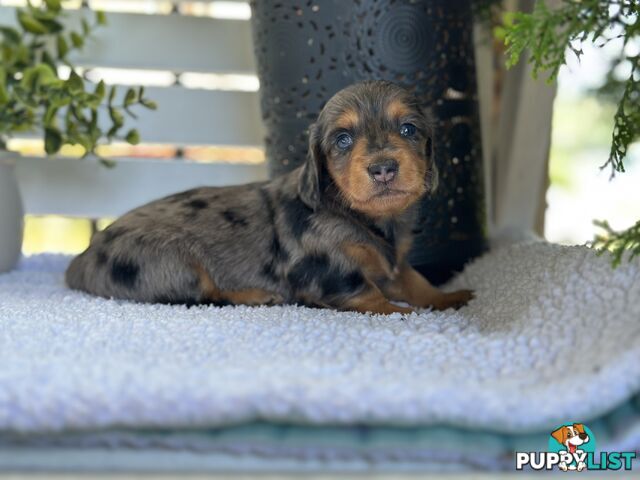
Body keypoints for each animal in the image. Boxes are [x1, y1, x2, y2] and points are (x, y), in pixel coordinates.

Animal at [66, 81, 476, 316]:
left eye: (408, 129)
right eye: (343, 139)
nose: (383, 169)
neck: (364, 218)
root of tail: (81, 259)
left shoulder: (393, 263)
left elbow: (415, 280)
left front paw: (447, 298)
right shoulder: (321, 268)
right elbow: (362, 289)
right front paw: (398, 310)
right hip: (174, 262)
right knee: (205, 293)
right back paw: (255, 296)